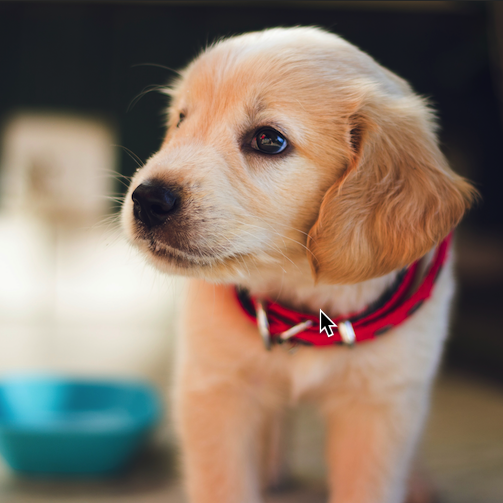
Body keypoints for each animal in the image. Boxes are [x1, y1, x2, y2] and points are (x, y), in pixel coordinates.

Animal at [121, 26, 476, 503]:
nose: (146, 200)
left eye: (269, 140)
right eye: (181, 119)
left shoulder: (381, 405)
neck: (303, 297)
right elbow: (223, 482)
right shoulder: (215, 389)